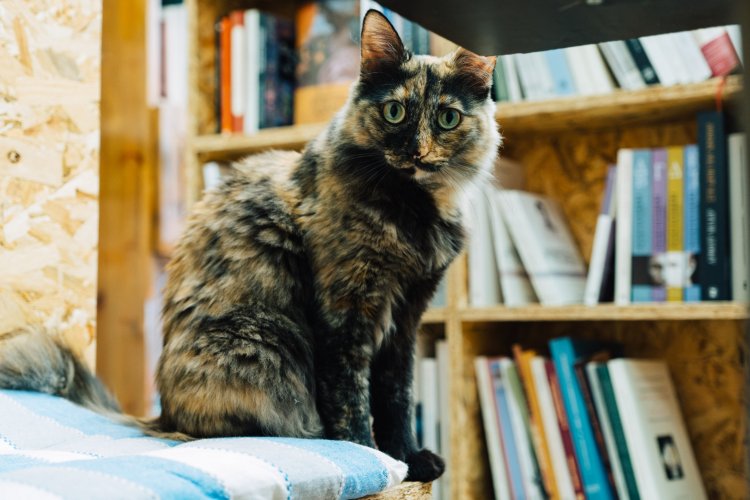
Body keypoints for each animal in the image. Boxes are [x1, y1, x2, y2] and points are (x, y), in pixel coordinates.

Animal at [1, 10, 506, 480]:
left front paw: (409, 459)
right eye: (395, 112)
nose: (417, 152)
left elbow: (397, 398)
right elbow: (351, 401)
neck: (414, 211)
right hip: (265, 340)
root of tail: (160, 416)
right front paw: (375, 459)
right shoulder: (346, 315)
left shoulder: (405, 321)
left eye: (447, 118)